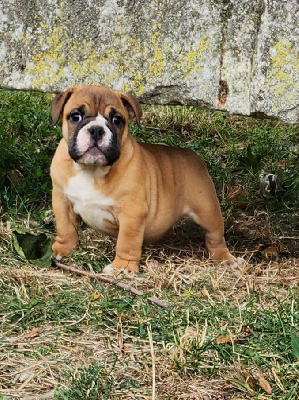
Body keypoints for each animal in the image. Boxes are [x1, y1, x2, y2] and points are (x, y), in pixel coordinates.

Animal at [50, 84, 238, 272]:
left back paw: (226, 259)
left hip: (207, 209)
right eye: (75, 117)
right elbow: (66, 228)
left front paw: (122, 268)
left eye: (117, 120)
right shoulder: (62, 202)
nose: (96, 130)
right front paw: (62, 249)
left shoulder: (132, 214)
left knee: (215, 235)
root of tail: (193, 155)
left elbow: (126, 242)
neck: (91, 170)